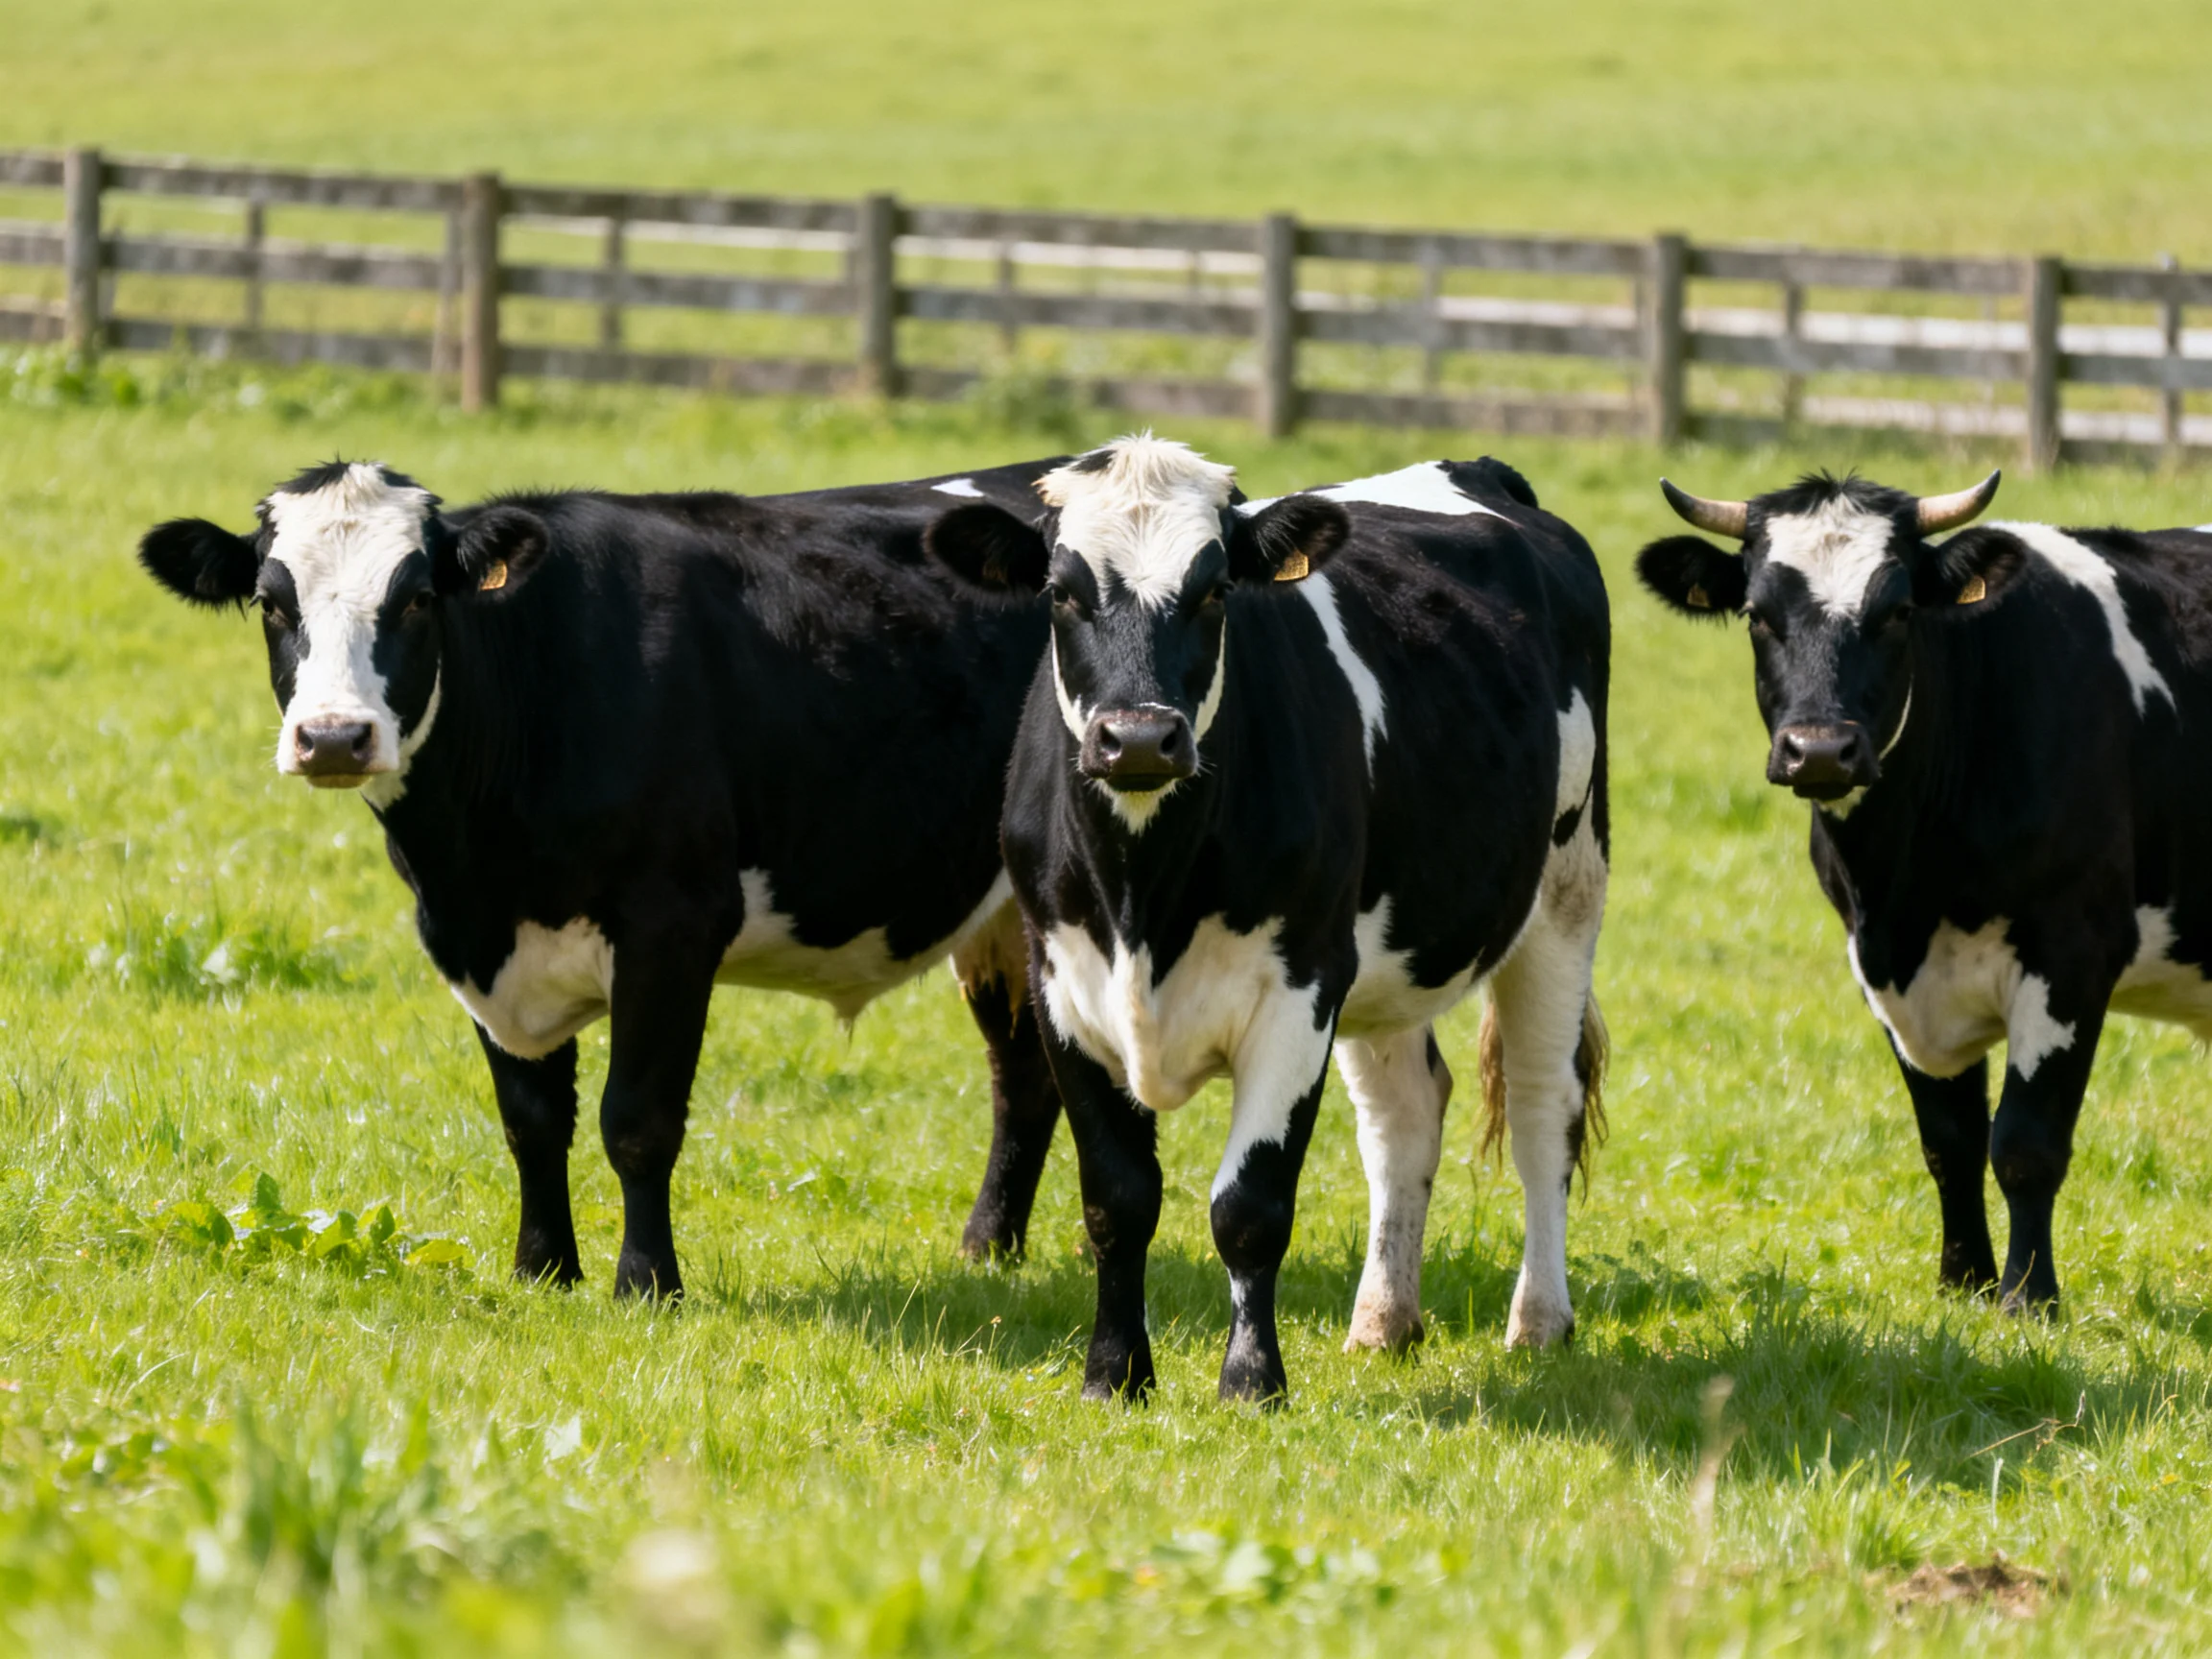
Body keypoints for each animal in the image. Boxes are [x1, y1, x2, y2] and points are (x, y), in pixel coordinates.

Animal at [136, 457, 1078, 1297]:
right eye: (271, 603)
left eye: (416, 598)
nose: (334, 737)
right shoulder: (475, 939)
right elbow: (532, 1120)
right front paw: (543, 1270)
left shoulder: (674, 924)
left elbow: (637, 1122)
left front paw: (647, 1283)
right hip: (1003, 917)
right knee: (1024, 1075)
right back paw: (988, 1250)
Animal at [925, 436, 1611, 1403]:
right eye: (1060, 590)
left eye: (1215, 589)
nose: (1139, 739)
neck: (1143, 896)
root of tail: (1476, 469)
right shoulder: (1061, 986)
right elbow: (1117, 1198)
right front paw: (1115, 1376)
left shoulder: (1300, 988)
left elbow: (1248, 1208)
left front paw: (1251, 1383)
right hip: (1384, 958)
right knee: (1404, 1114)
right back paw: (1383, 1322)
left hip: (1564, 895)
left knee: (1544, 1102)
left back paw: (1540, 1322)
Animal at [1636, 469, 2212, 1310]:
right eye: (1756, 614)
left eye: (1898, 611)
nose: (1820, 751)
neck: (1910, 882)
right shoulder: (1885, 967)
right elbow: (1950, 1141)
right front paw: (1962, 1281)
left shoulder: (2075, 949)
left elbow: (2025, 1143)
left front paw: (2027, 1298)